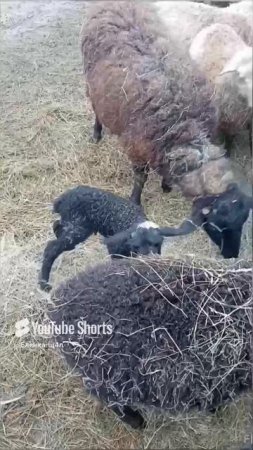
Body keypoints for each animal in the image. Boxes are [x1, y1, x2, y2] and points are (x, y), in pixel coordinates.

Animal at [81, 0, 253, 256]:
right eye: (217, 223)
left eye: (243, 220)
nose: (230, 255)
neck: (185, 126)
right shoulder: (138, 147)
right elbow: (140, 178)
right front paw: (135, 201)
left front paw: (166, 185)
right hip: (91, 80)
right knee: (95, 107)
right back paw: (97, 133)